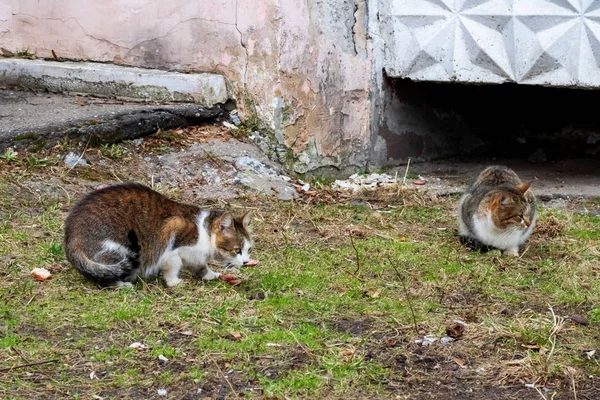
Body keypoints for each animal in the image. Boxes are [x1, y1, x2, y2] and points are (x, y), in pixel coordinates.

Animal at [64, 184, 252, 288]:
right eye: (237, 250)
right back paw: (121, 284)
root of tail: (71, 238)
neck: (203, 233)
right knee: (106, 274)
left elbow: (200, 268)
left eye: (249, 249)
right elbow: (172, 266)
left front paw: (212, 275)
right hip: (117, 248)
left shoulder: (193, 256)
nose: (246, 262)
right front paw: (174, 282)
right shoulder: (172, 238)